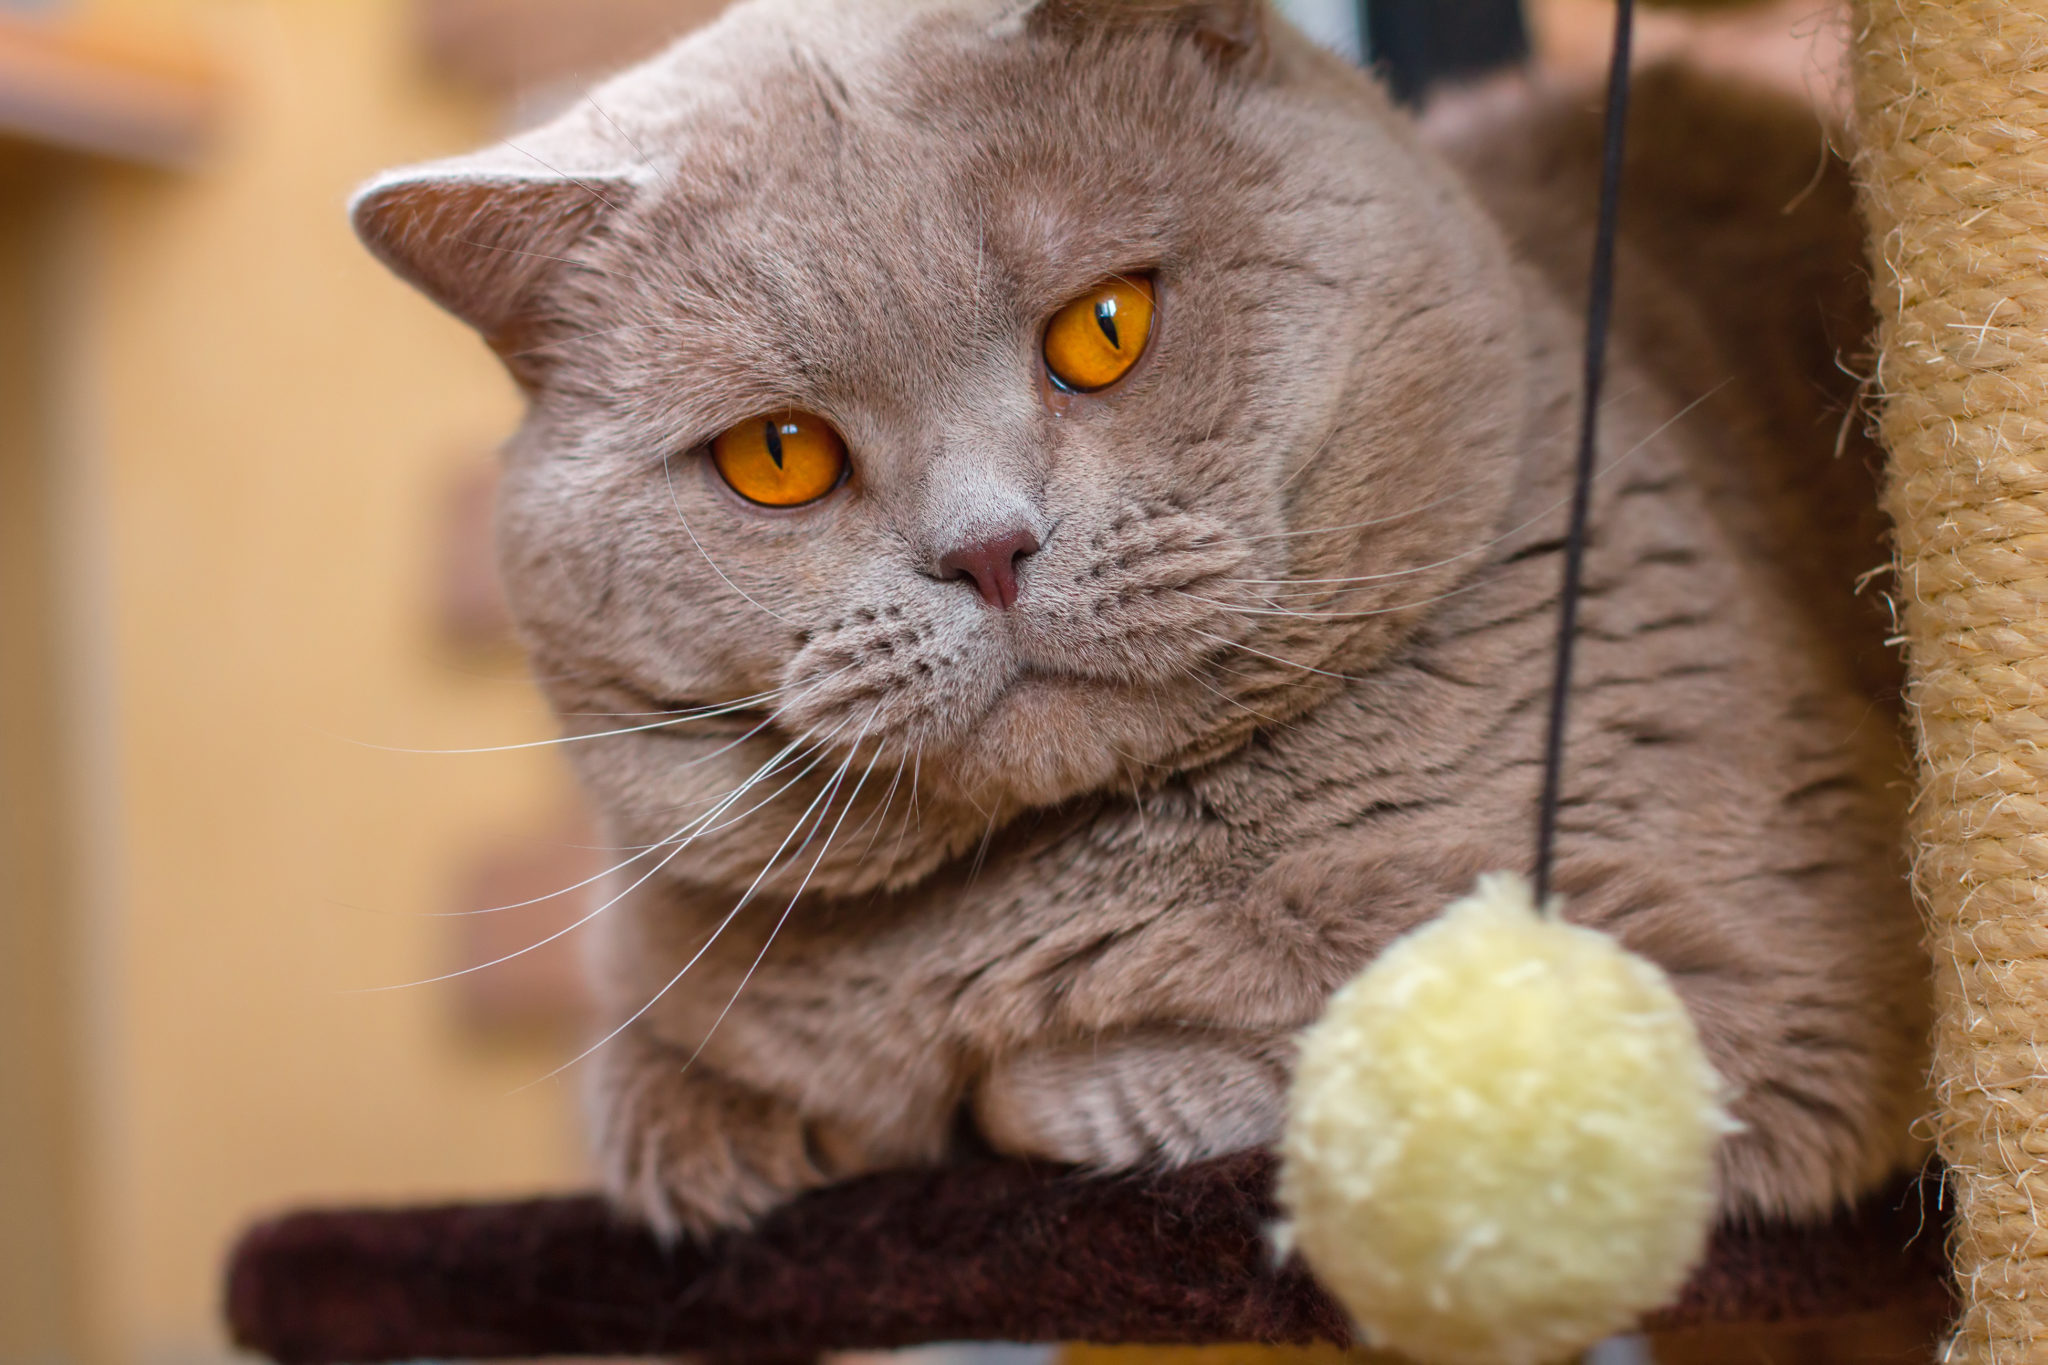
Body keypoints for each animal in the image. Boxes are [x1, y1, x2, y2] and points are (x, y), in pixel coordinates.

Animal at [356, 0, 1933, 1244]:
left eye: (1103, 329)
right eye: (778, 455)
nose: (987, 550)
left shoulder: (1761, 986)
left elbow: (1325, 1049)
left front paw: (1018, 1083)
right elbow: (659, 1106)